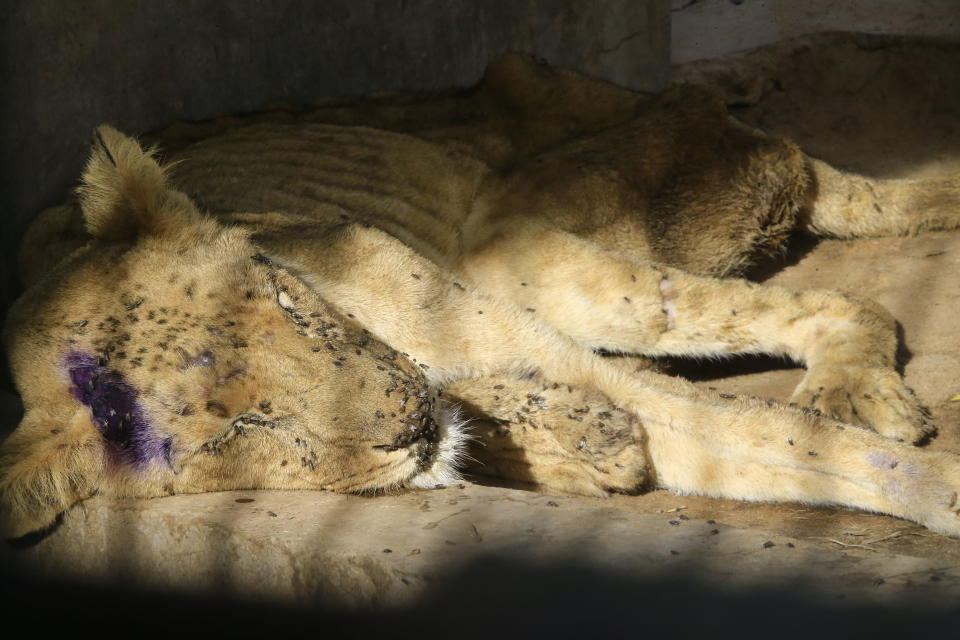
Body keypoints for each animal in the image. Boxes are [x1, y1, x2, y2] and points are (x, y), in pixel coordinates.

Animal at [1, 55, 960, 536]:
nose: (412, 417)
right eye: (248, 427)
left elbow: (788, 440)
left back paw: (855, 391)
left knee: (842, 300)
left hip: (531, 241)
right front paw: (556, 434)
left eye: (284, 297)